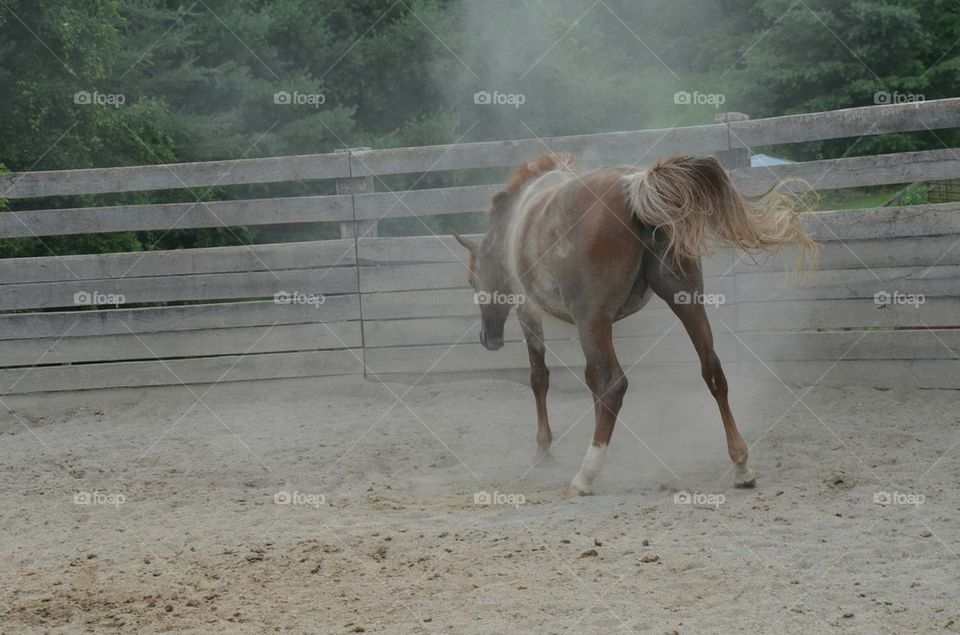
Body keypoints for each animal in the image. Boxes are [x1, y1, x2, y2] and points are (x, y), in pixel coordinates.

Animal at [454, 152, 812, 494]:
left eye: (473, 279)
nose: (488, 338)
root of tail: (635, 189)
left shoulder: (532, 312)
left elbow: (541, 377)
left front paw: (544, 448)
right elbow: (591, 380)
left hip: (592, 318)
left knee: (614, 385)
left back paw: (586, 475)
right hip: (685, 301)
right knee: (712, 370)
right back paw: (741, 465)